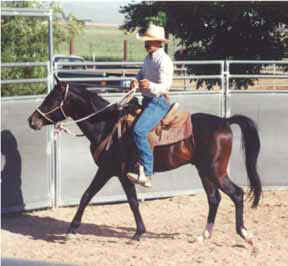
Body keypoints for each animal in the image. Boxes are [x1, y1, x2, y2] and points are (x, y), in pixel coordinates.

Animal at [28, 80, 262, 246]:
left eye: (51, 99)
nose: (32, 120)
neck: (106, 125)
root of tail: (224, 121)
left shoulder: (109, 170)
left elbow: (88, 196)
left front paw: (71, 231)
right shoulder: (122, 174)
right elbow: (131, 201)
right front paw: (139, 232)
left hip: (215, 171)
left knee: (237, 194)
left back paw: (245, 234)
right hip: (204, 171)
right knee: (214, 199)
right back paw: (203, 235)